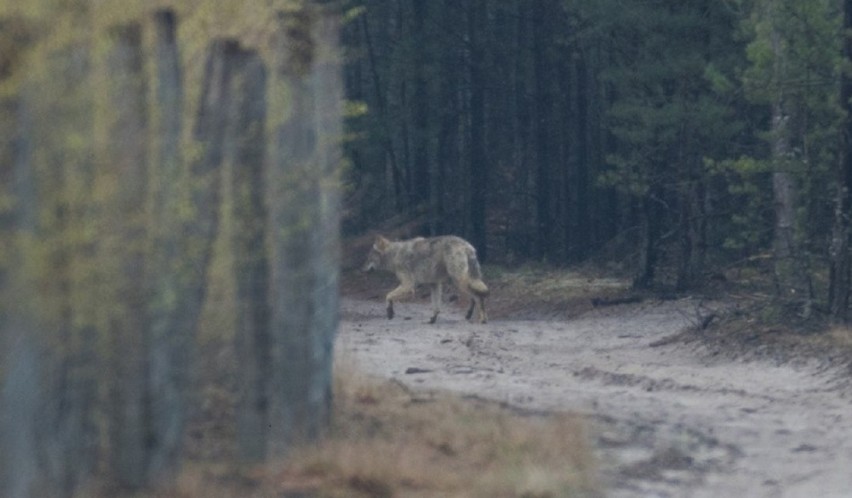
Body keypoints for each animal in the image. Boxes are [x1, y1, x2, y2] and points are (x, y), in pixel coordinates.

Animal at [362, 236, 492, 324]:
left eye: (369, 259)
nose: (362, 270)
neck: (395, 254)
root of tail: (467, 245)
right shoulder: (434, 284)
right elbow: (436, 307)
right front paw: (433, 319)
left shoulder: (408, 286)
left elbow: (388, 296)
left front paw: (390, 312)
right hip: (463, 281)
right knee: (475, 296)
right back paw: (470, 315)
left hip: (459, 281)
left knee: (478, 297)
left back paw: (482, 319)